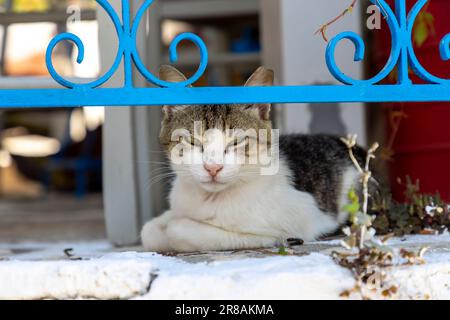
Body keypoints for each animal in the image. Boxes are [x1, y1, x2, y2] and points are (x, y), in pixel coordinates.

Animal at [142, 66, 368, 254]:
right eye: (192, 141)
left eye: (236, 141)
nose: (213, 168)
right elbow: (148, 230)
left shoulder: (298, 219)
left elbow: (181, 230)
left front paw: (175, 230)